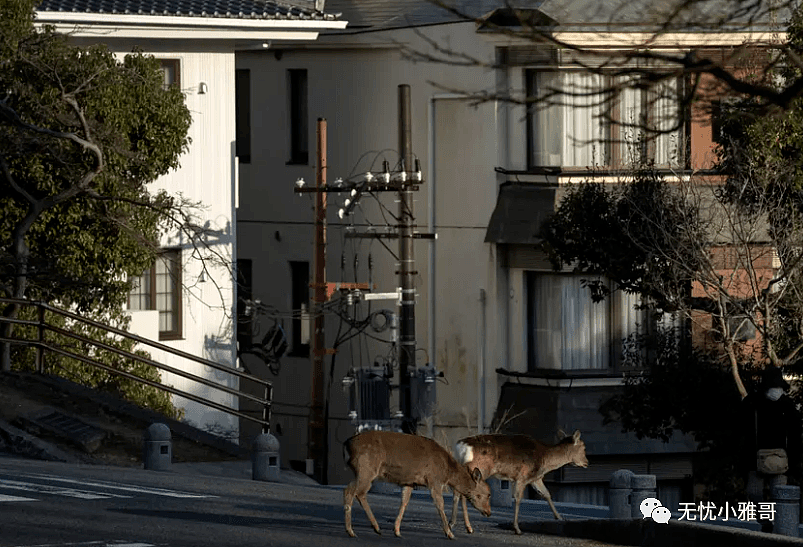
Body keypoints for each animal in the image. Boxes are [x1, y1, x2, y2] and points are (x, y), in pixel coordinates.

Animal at [344, 432, 494, 540]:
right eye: (488, 494)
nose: (489, 512)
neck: (447, 471)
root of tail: (347, 445)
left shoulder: (410, 482)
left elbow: (404, 502)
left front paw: (397, 530)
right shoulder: (434, 480)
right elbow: (440, 505)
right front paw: (450, 533)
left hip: (360, 471)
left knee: (350, 490)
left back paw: (359, 530)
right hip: (367, 469)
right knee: (356, 492)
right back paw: (366, 529)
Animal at [450, 432, 588, 536]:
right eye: (583, 447)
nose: (587, 462)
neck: (545, 461)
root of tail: (460, 447)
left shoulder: (535, 478)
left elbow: (547, 494)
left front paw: (559, 517)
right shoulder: (523, 476)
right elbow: (518, 499)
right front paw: (517, 529)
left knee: (457, 492)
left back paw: (453, 523)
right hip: (479, 469)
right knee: (464, 493)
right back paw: (468, 527)